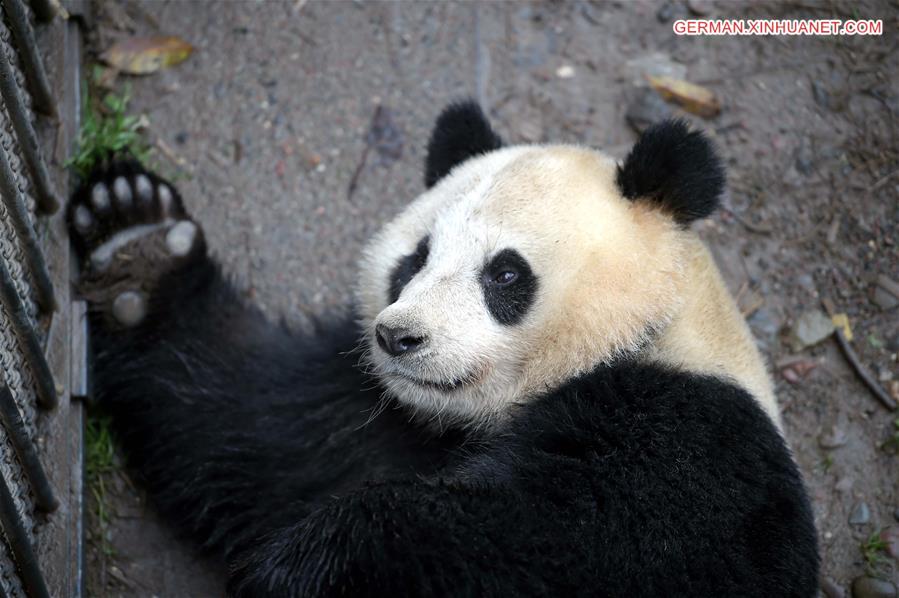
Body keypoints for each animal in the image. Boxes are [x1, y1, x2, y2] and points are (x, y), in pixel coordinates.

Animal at [67, 103, 820, 598]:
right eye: (414, 260)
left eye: (505, 274)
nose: (399, 337)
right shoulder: (376, 415)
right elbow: (249, 435)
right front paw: (137, 250)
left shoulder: (687, 443)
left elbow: (548, 548)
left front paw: (317, 565)